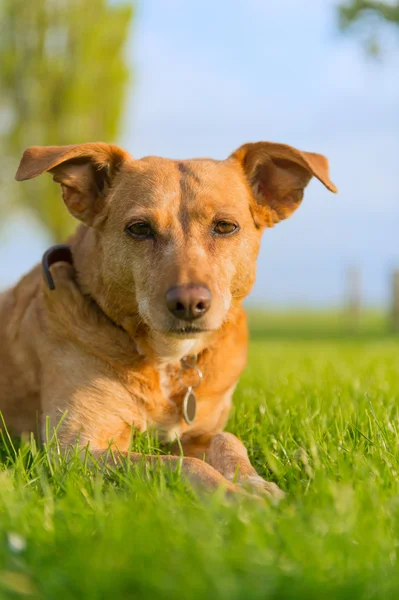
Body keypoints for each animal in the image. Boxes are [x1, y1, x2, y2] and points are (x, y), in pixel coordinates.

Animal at [0, 141, 338, 496]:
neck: (168, 360)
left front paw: (255, 482)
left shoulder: (197, 434)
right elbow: (181, 464)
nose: (189, 303)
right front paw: (232, 495)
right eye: (139, 228)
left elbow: (227, 439)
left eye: (225, 226)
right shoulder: (77, 450)